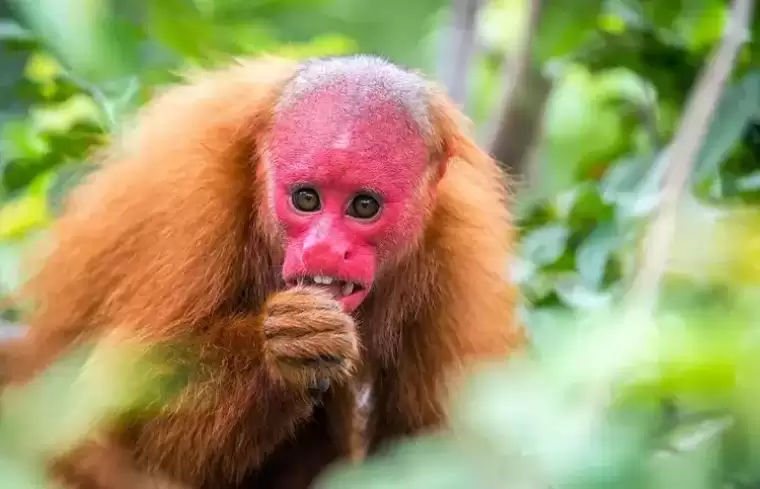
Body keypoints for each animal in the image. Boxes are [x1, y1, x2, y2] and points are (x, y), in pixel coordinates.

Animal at [0, 54, 524, 488]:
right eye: (306, 198)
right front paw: (285, 345)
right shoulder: (190, 200)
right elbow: (112, 424)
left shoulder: (460, 246)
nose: (324, 248)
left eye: (364, 206)